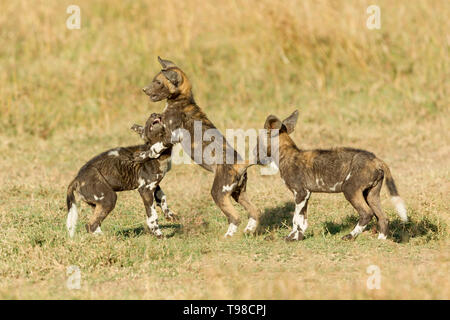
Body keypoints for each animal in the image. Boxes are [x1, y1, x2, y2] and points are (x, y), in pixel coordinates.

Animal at [139, 57, 262, 238]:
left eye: (158, 82)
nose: (144, 90)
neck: (182, 99)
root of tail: (239, 165)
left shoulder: (170, 136)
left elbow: (156, 144)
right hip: (238, 193)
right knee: (254, 211)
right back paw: (248, 231)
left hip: (218, 193)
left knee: (235, 217)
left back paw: (227, 237)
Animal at [256, 111, 408, 241]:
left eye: (257, 143)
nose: (254, 155)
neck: (286, 154)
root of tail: (376, 159)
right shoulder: (305, 195)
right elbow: (302, 220)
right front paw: (297, 237)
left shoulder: (300, 194)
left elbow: (296, 219)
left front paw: (291, 238)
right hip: (371, 194)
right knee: (382, 217)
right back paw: (381, 240)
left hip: (350, 190)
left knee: (367, 213)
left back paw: (350, 236)